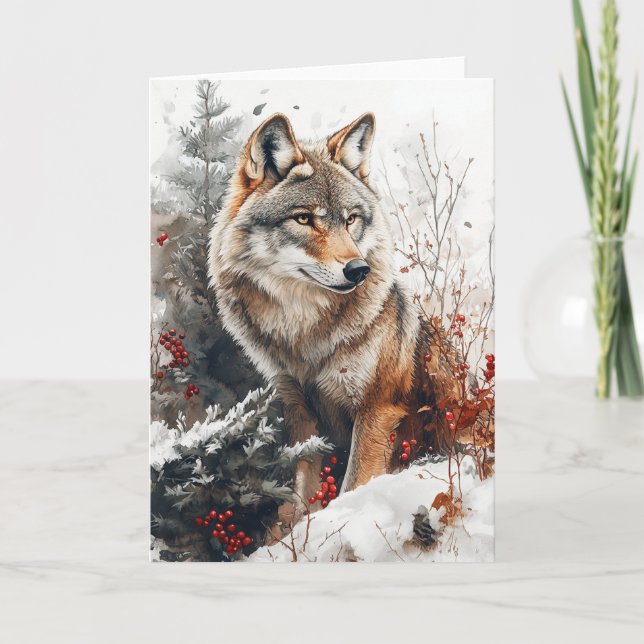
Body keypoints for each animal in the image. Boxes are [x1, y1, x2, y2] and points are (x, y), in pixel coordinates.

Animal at [209, 112, 457, 515]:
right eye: (304, 219)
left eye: (351, 219)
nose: (358, 270)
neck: (303, 330)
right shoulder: (300, 413)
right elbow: (302, 493)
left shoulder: (376, 410)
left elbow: (353, 483)